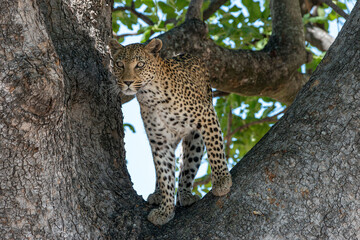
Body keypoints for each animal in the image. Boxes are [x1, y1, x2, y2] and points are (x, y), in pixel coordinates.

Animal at [108, 38, 232, 226]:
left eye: (140, 65)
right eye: (119, 64)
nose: (127, 82)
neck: (150, 96)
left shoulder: (206, 115)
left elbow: (215, 150)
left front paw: (222, 181)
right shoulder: (160, 142)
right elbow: (165, 175)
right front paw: (165, 210)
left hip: (195, 138)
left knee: (188, 166)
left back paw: (186, 194)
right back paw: (157, 194)